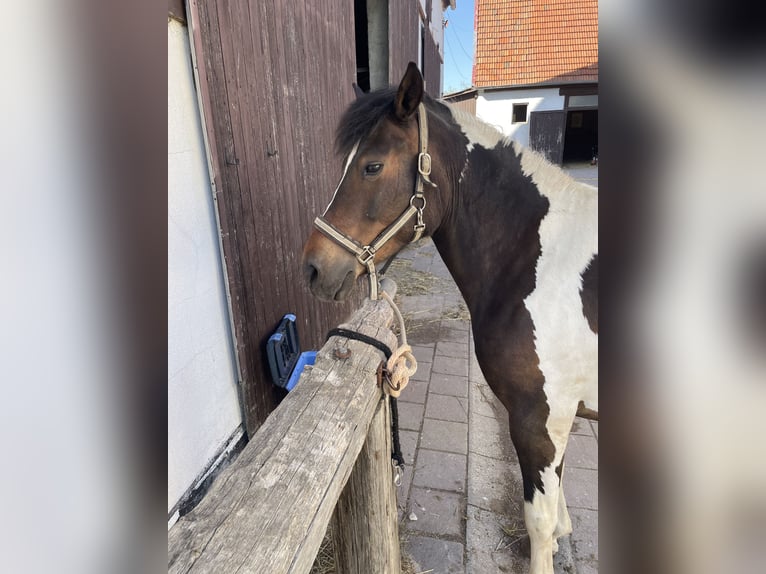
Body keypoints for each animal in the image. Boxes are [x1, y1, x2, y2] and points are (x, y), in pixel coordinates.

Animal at [302, 62, 598, 574]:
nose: (314, 268)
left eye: (372, 166)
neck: (542, 263)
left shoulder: (539, 416)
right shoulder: (560, 413)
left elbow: (539, 522)